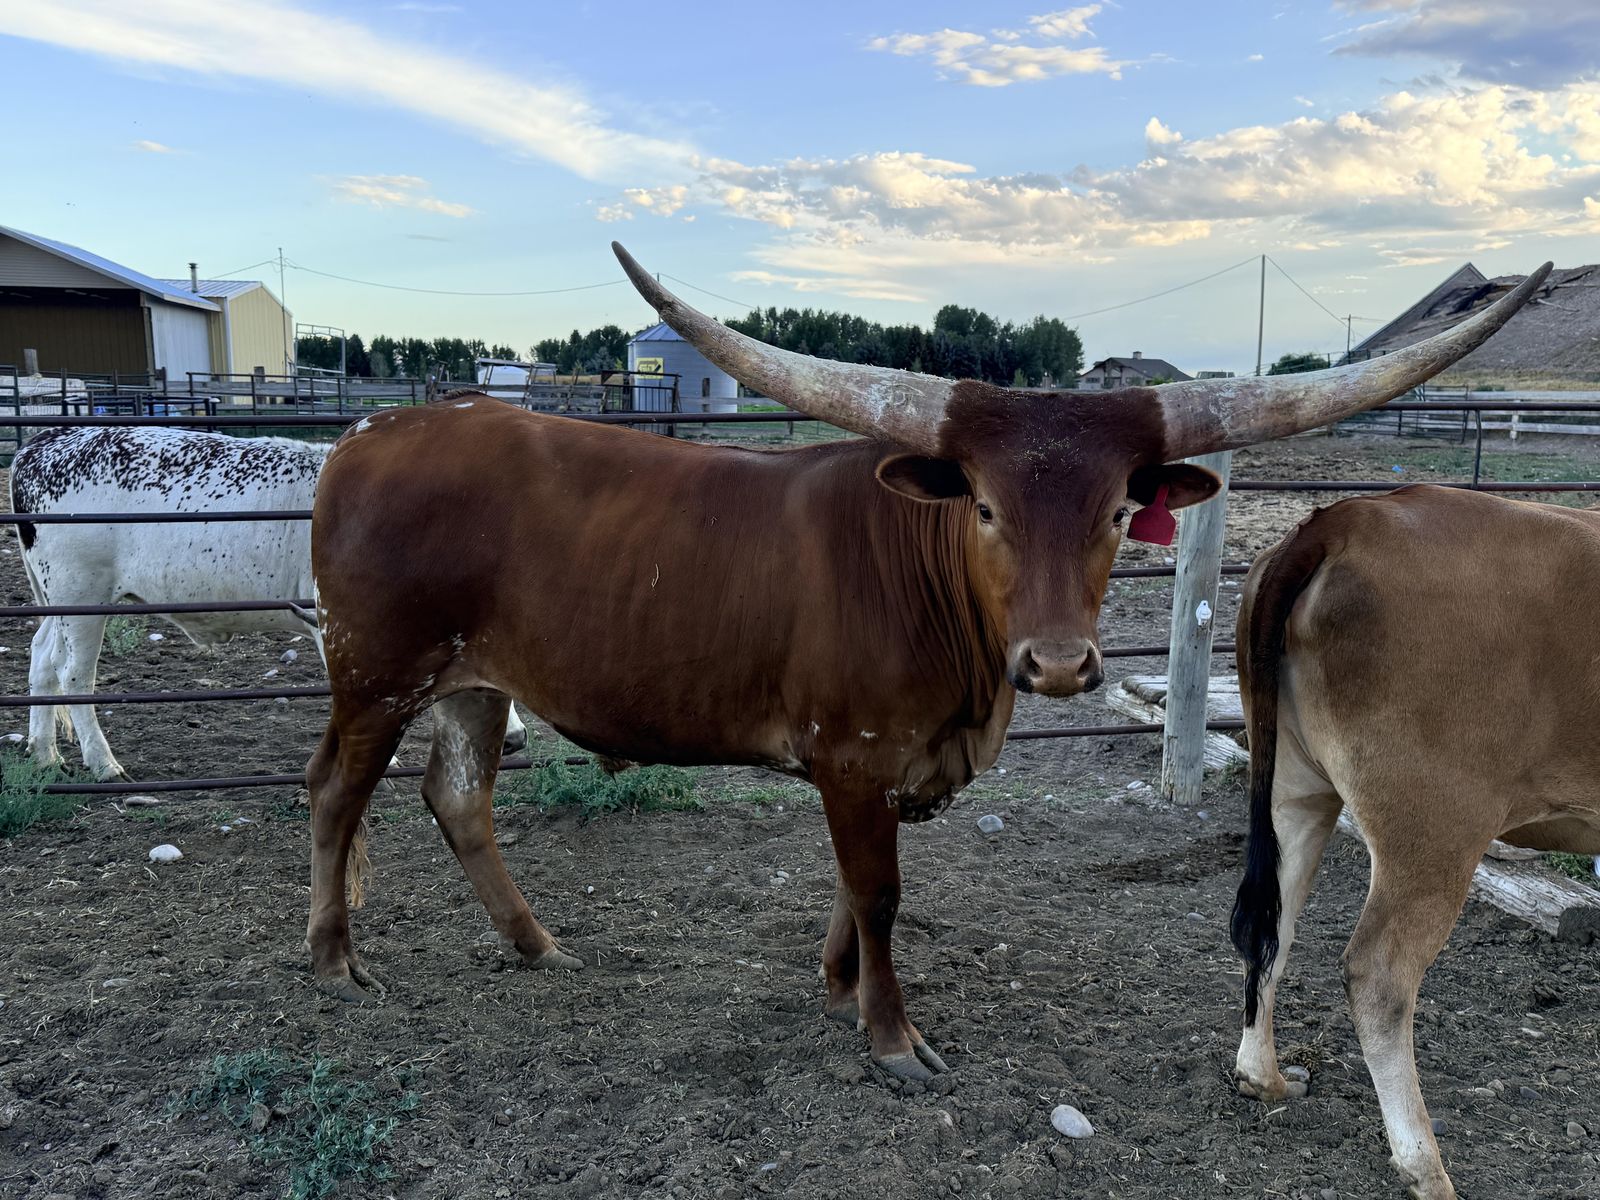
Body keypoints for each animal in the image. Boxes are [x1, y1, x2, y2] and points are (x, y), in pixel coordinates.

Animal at [9, 427, 526, 780]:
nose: (516, 741)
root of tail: (44, 441)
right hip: (81, 596)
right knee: (75, 675)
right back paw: (102, 762)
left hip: (55, 602)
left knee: (41, 658)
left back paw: (44, 752)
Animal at [305, 243, 1546, 1081]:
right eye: (986, 507)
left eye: (1117, 510)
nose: (1059, 664)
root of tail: (374, 433)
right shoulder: (851, 755)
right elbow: (879, 890)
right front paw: (891, 1034)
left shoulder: (891, 763)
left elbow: (855, 894)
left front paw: (837, 985)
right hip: (376, 670)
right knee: (335, 792)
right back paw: (333, 963)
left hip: (473, 681)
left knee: (456, 796)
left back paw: (534, 944)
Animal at [1231, 484, 1600, 1199]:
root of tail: (1346, 516)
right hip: (1435, 824)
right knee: (1379, 974)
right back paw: (1425, 1167)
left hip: (1294, 788)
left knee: (1272, 927)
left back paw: (1267, 1078)